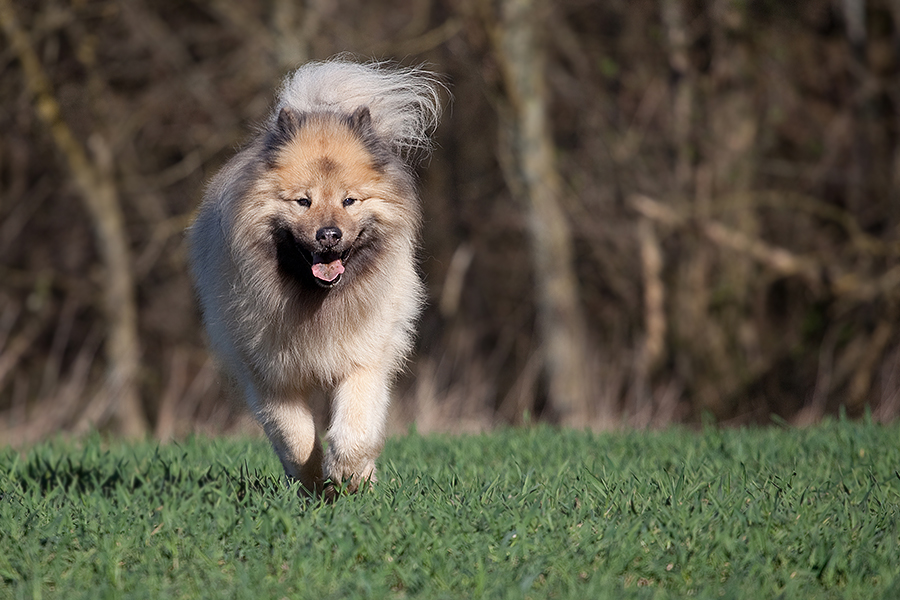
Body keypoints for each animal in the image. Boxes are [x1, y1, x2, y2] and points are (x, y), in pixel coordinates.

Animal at [189, 57, 442, 496]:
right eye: (303, 201)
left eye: (349, 200)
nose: (329, 235)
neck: (317, 300)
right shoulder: (271, 375)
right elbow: (296, 436)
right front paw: (311, 485)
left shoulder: (363, 359)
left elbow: (356, 426)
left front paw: (347, 474)